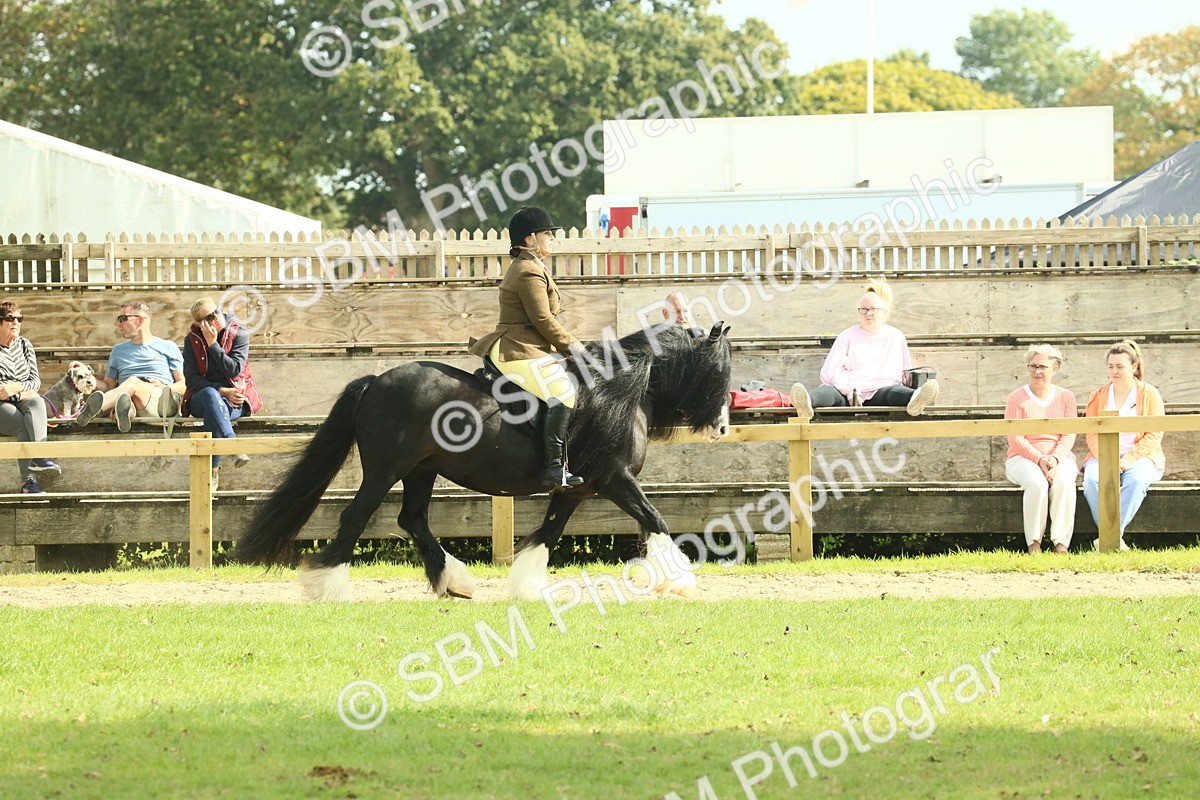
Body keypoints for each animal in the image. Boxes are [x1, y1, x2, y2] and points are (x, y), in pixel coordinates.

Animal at [236, 321, 732, 601]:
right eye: (720, 370)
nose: (723, 426)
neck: (619, 392)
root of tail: (376, 380)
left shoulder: (577, 487)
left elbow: (547, 534)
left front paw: (527, 587)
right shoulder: (615, 479)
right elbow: (656, 520)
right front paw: (680, 581)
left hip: (422, 470)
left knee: (412, 519)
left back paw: (454, 582)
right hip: (386, 469)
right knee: (357, 517)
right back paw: (328, 588)